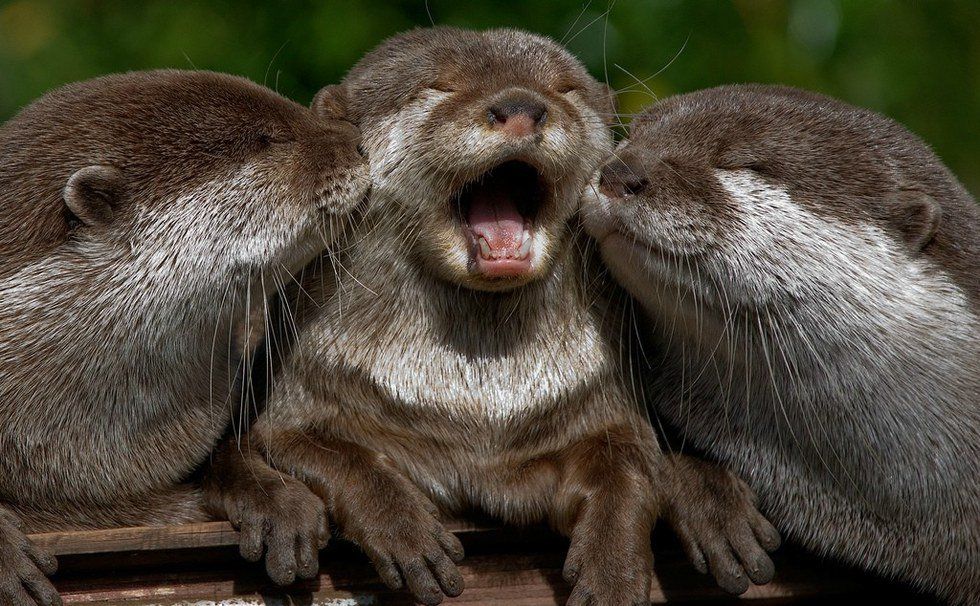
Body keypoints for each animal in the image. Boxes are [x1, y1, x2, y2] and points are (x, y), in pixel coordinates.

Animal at [206, 29, 780, 605]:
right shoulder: (304, 393)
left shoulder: (599, 404)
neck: (478, 411)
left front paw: (612, 571)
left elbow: (629, 466)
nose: (523, 106)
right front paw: (403, 530)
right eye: (439, 86)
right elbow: (331, 454)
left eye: (564, 89)